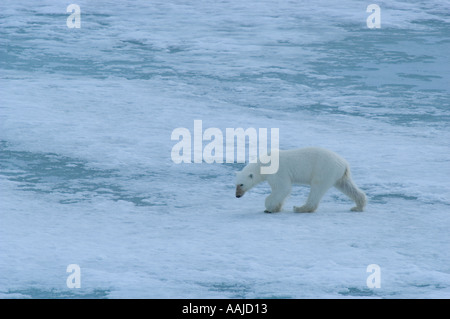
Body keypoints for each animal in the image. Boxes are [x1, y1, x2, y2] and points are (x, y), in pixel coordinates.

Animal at [236, 148, 366, 214]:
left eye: (241, 184)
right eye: (235, 184)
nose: (237, 195)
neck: (263, 164)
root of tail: (344, 164)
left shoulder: (278, 172)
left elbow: (283, 188)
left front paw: (269, 208)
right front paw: (277, 207)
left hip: (323, 170)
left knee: (316, 188)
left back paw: (300, 208)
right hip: (339, 175)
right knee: (347, 186)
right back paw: (358, 206)